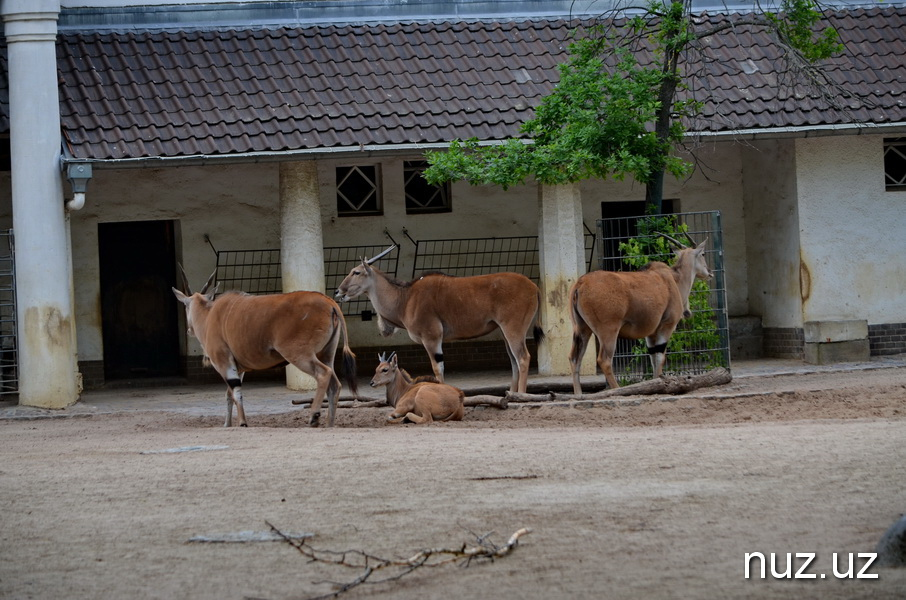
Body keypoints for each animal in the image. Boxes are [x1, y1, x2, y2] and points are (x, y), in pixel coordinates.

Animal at [171, 270, 354, 428]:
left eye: (186, 306)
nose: (189, 330)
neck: (209, 315)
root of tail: (329, 303)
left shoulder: (224, 362)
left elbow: (236, 392)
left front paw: (242, 423)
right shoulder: (238, 368)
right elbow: (229, 395)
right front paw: (227, 424)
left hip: (300, 355)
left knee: (323, 374)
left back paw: (314, 416)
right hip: (326, 354)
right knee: (334, 385)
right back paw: (329, 424)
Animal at [334, 245, 540, 394]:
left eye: (356, 272)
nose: (338, 291)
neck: (406, 298)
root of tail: (533, 286)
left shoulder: (431, 337)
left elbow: (437, 368)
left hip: (513, 330)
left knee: (523, 358)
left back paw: (521, 395)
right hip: (505, 332)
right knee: (514, 361)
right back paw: (512, 393)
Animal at [568, 237, 708, 396]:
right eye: (703, 254)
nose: (710, 273)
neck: (673, 280)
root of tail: (580, 283)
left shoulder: (651, 334)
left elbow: (653, 357)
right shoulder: (666, 327)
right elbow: (660, 357)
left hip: (582, 330)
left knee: (574, 359)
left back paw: (578, 394)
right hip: (608, 332)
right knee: (604, 360)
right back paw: (618, 389)